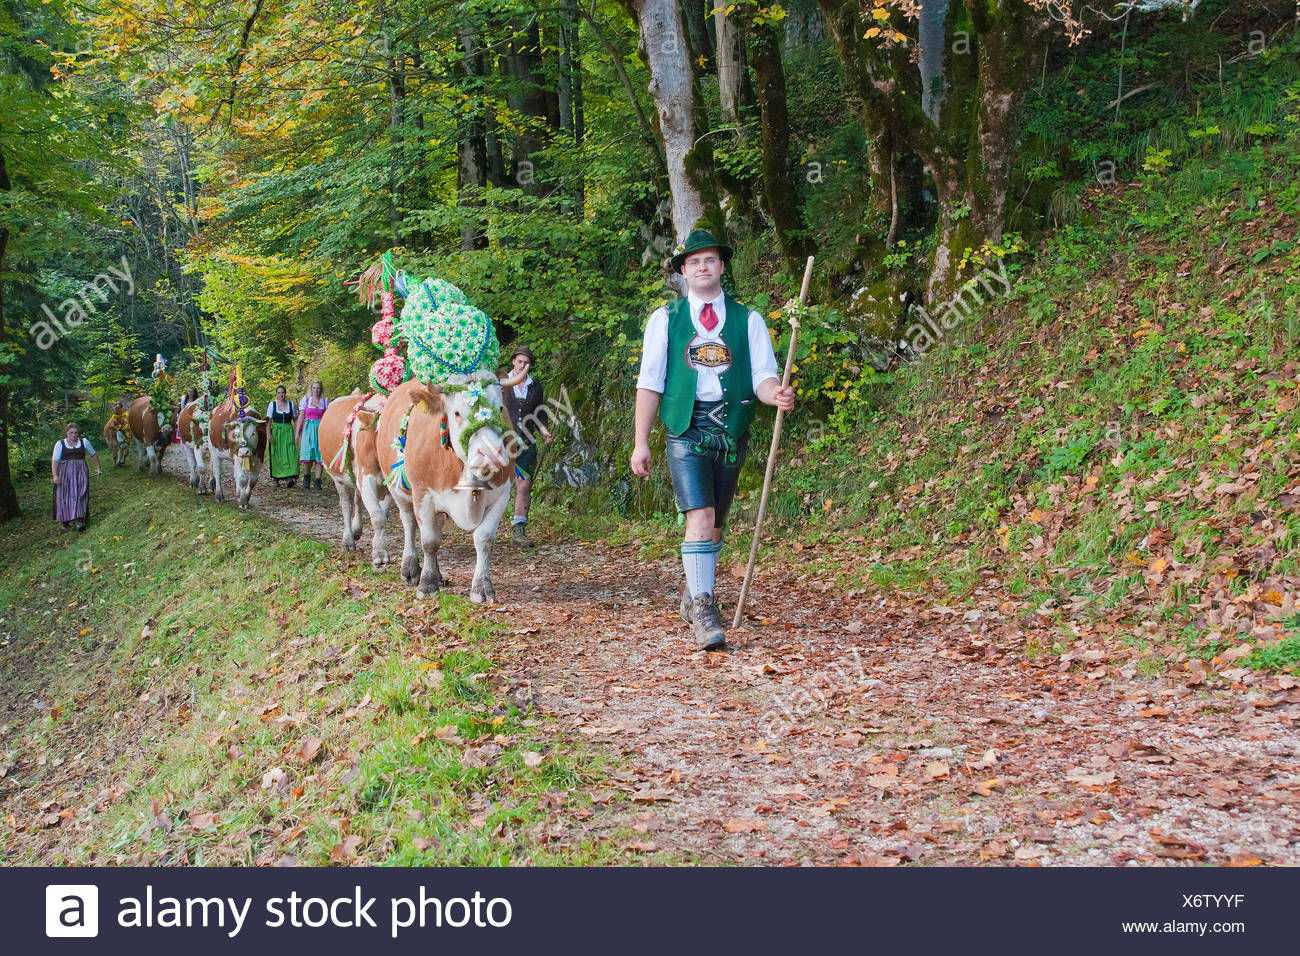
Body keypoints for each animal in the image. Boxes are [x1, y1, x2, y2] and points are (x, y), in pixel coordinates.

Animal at [318, 390, 390, 564]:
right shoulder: (367, 480)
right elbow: (377, 516)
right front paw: (380, 554)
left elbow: (382, 514)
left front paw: (377, 544)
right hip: (338, 478)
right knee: (346, 505)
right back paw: (348, 540)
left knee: (357, 500)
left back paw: (357, 529)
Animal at [371, 371, 512, 600]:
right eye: (456, 413)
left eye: (500, 409)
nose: (491, 454)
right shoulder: (423, 495)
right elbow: (429, 542)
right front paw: (427, 584)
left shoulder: (502, 495)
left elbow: (484, 540)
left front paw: (482, 587)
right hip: (398, 489)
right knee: (409, 524)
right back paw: (410, 568)